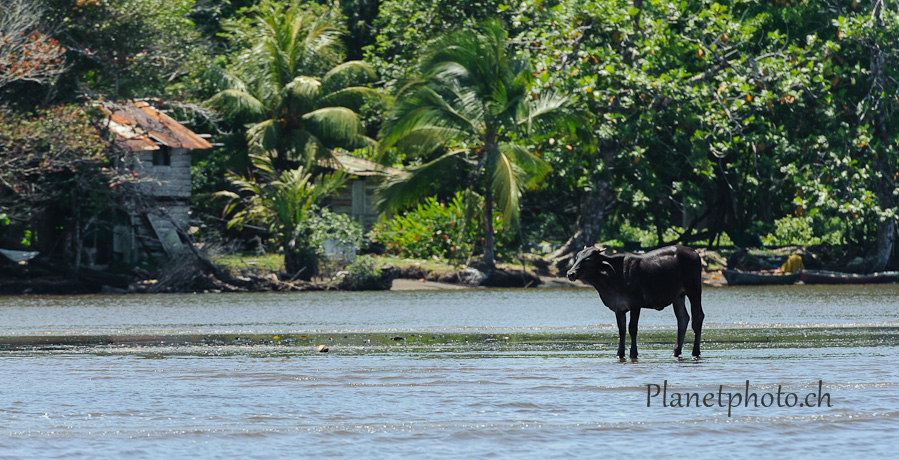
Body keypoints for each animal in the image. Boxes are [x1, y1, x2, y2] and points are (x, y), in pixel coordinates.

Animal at [568, 244, 708, 360]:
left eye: (588, 259)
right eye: (577, 257)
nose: (570, 273)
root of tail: (693, 252)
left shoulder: (635, 304)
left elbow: (632, 328)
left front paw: (633, 353)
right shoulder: (619, 307)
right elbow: (621, 330)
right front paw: (619, 354)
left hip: (694, 290)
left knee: (698, 318)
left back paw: (695, 352)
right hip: (678, 296)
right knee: (683, 318)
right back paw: (676, 351)